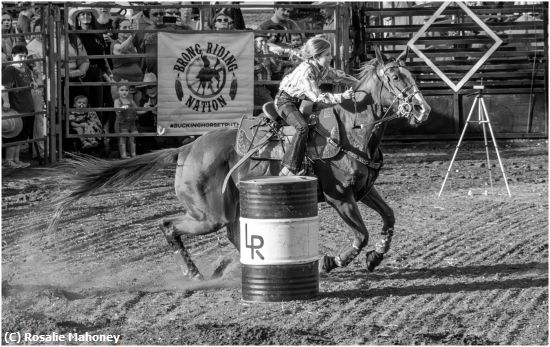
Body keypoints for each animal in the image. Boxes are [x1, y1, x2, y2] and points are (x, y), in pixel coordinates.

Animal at [49, 46, 434, 280]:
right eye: (396, 78)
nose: (422, 109)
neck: (351, 128)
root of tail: (186, 150)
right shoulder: (340, 197)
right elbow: (361, 233)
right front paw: (332, 261)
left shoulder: (364, 190)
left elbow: (388, 219)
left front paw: (376, 256)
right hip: (210, 214)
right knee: (169, 226)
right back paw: (196, 273)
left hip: (230, 206)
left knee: (236, 235)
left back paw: (233, 267)